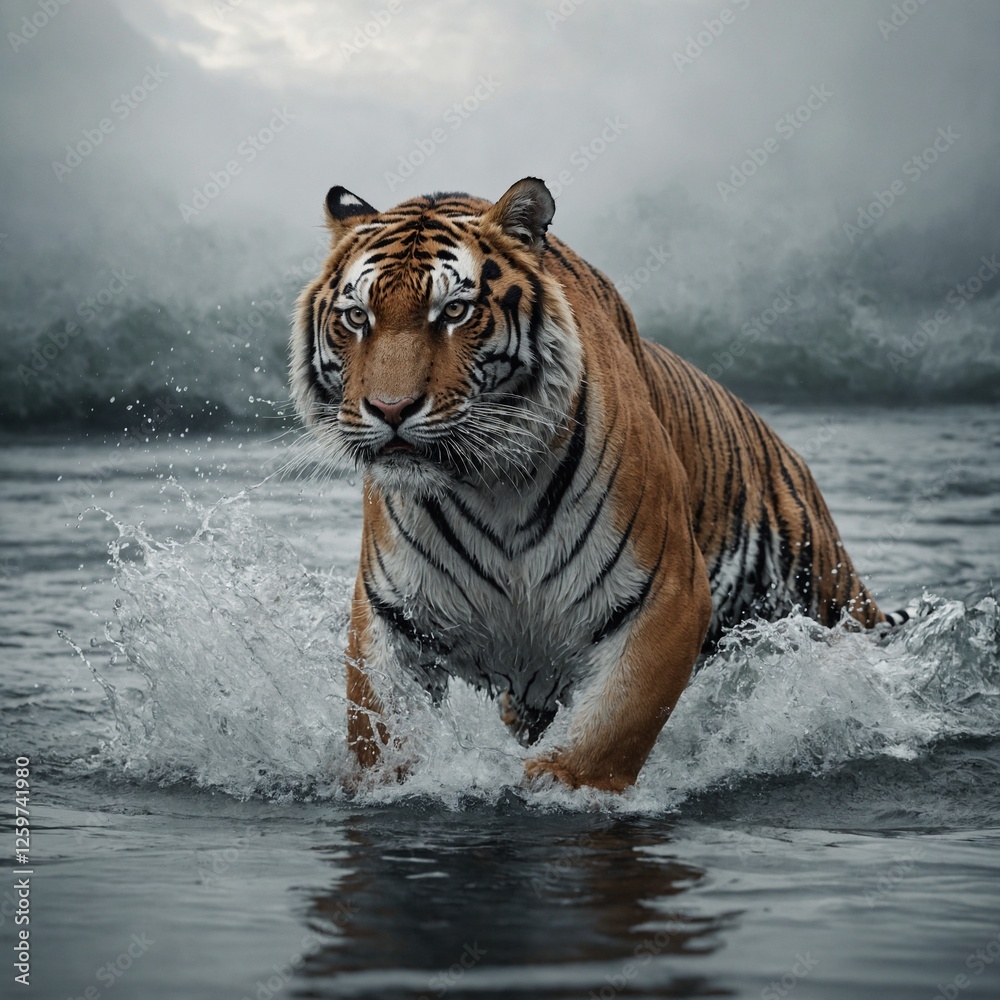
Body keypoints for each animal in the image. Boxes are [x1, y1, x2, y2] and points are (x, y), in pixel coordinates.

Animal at [290, 177, 905, 792]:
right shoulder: (392, 613)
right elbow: (378, 727)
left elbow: (613, 729)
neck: (490, 485)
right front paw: (392, 777)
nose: (390, 410)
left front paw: (559, 786)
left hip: (822, 596)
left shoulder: (668, 594)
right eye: (357, 317)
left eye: (455, 311)